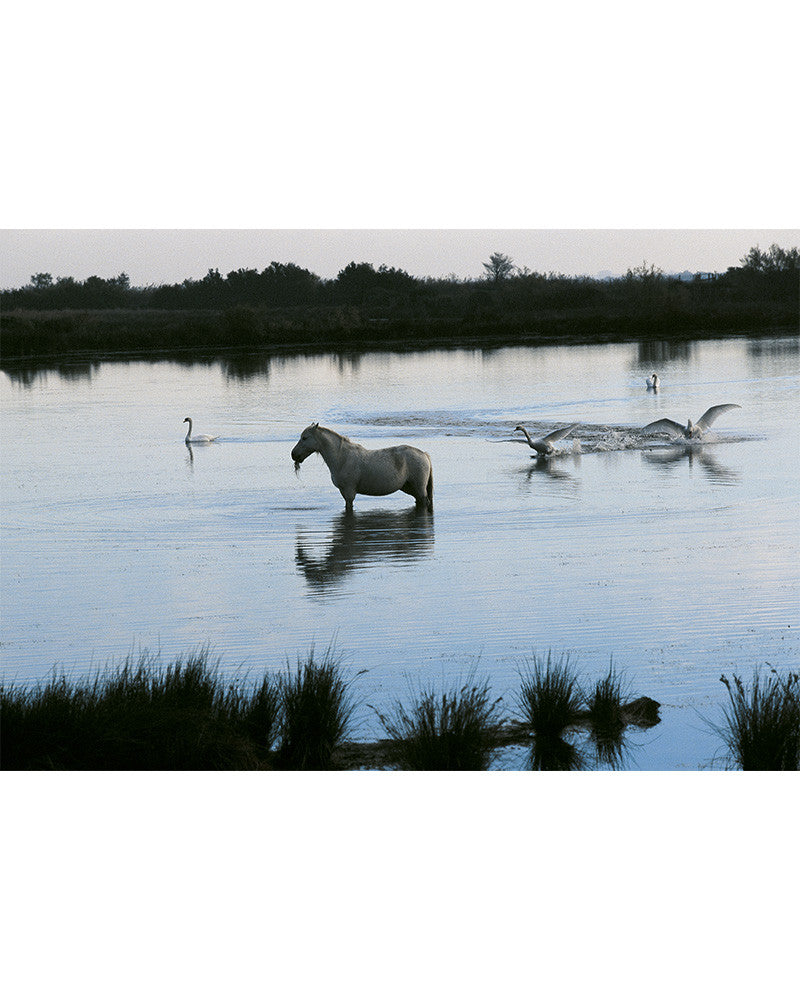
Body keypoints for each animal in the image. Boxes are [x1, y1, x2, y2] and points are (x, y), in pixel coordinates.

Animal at [291, 423, 433, 511]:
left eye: (305, 438)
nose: (294, 454)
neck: (342, 457)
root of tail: (424, 454)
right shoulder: (344, 492)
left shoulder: (349, 492)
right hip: (410, 488)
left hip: (419, 488)